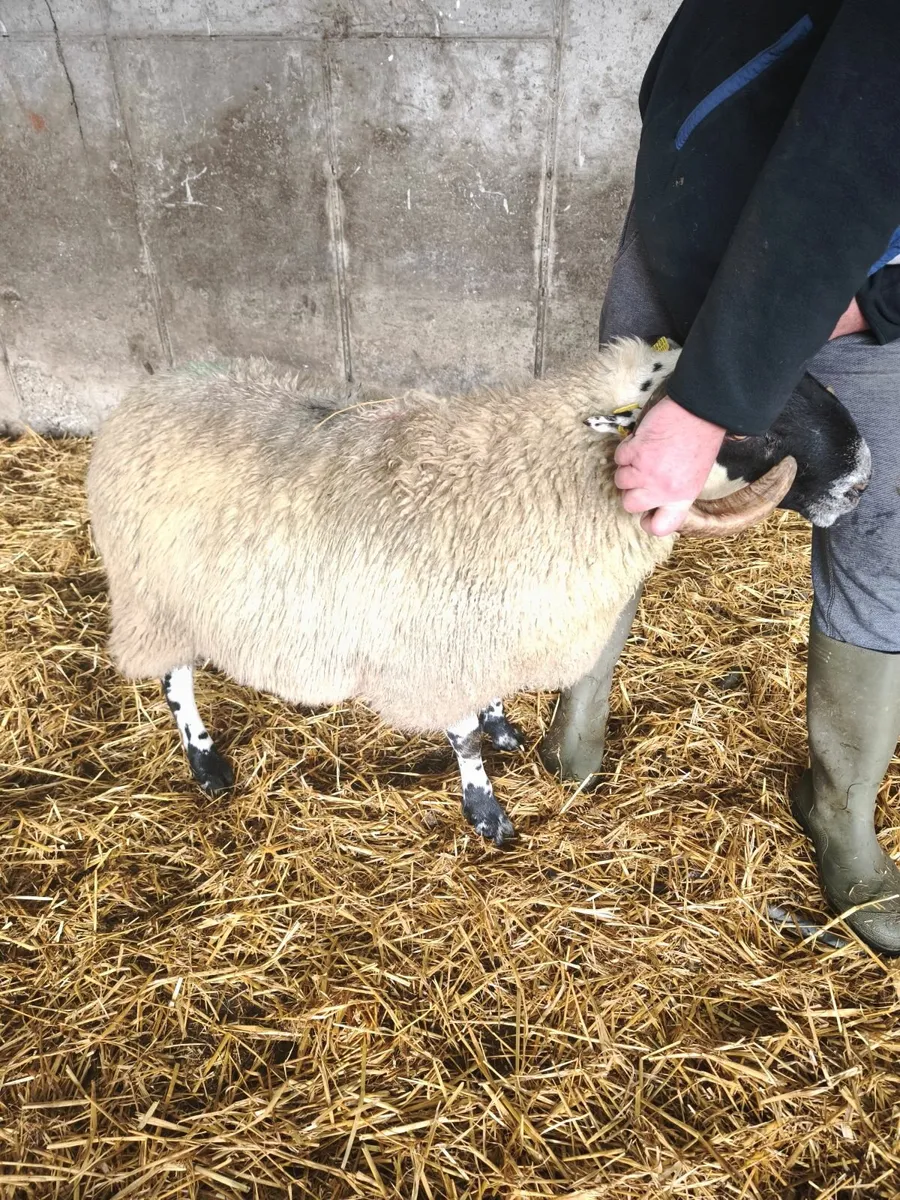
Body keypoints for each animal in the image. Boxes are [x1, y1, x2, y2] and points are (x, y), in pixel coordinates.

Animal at [86, 339, 868, 846]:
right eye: (741, 429)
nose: (862, 480)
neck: (531, 476)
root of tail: (151, 388)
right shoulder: (438, 648)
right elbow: (461, 738)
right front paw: (487, 813)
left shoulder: (485, 627)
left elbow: (487, 707)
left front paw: (503, 725)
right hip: (153, 591)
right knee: (175, 680)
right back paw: (205, 761)